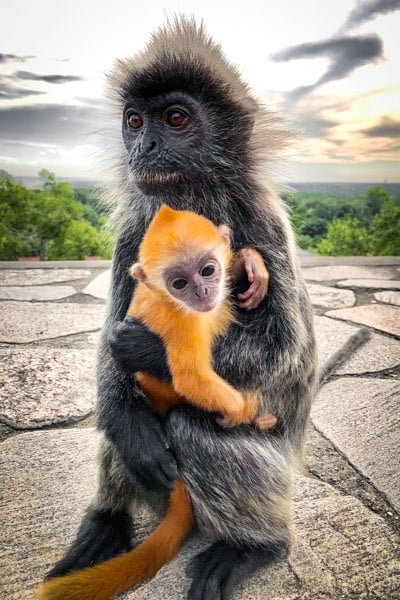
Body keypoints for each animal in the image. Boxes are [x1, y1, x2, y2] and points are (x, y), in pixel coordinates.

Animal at [41, 17, 318, 600]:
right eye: (134, 121)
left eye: (174, 119)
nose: (143, 146)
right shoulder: (134, 232)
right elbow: (109, 345)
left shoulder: (263, 222)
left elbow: (285, 351)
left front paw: (151, 348)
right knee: (123, 421)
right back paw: (107, 522)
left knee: (193, 429)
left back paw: (254, 546)